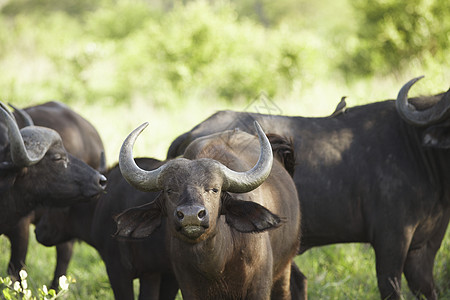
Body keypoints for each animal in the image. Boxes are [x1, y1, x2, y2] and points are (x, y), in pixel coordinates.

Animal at [115, 120, 302, 298]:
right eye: (170, 190)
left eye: (214, 189)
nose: (191, 216)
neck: (216, 267)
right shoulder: (188, 287)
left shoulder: (259, 286)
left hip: (285, 267)